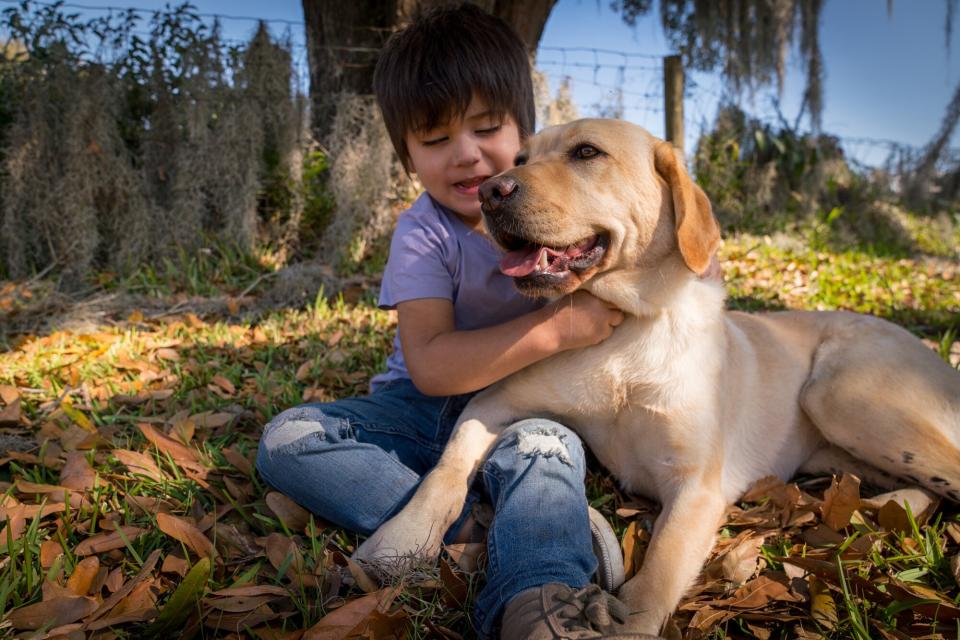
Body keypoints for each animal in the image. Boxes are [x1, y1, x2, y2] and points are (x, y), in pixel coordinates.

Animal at [354, 120, 960, 636]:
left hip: (838, 395)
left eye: (587, 153)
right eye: (520, 158)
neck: (628, 333)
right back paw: (890, 505)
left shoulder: (697, 486)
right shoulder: (492, 400)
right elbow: (446, 469)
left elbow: (660, 570)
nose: (489, 191)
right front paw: (400, 540)